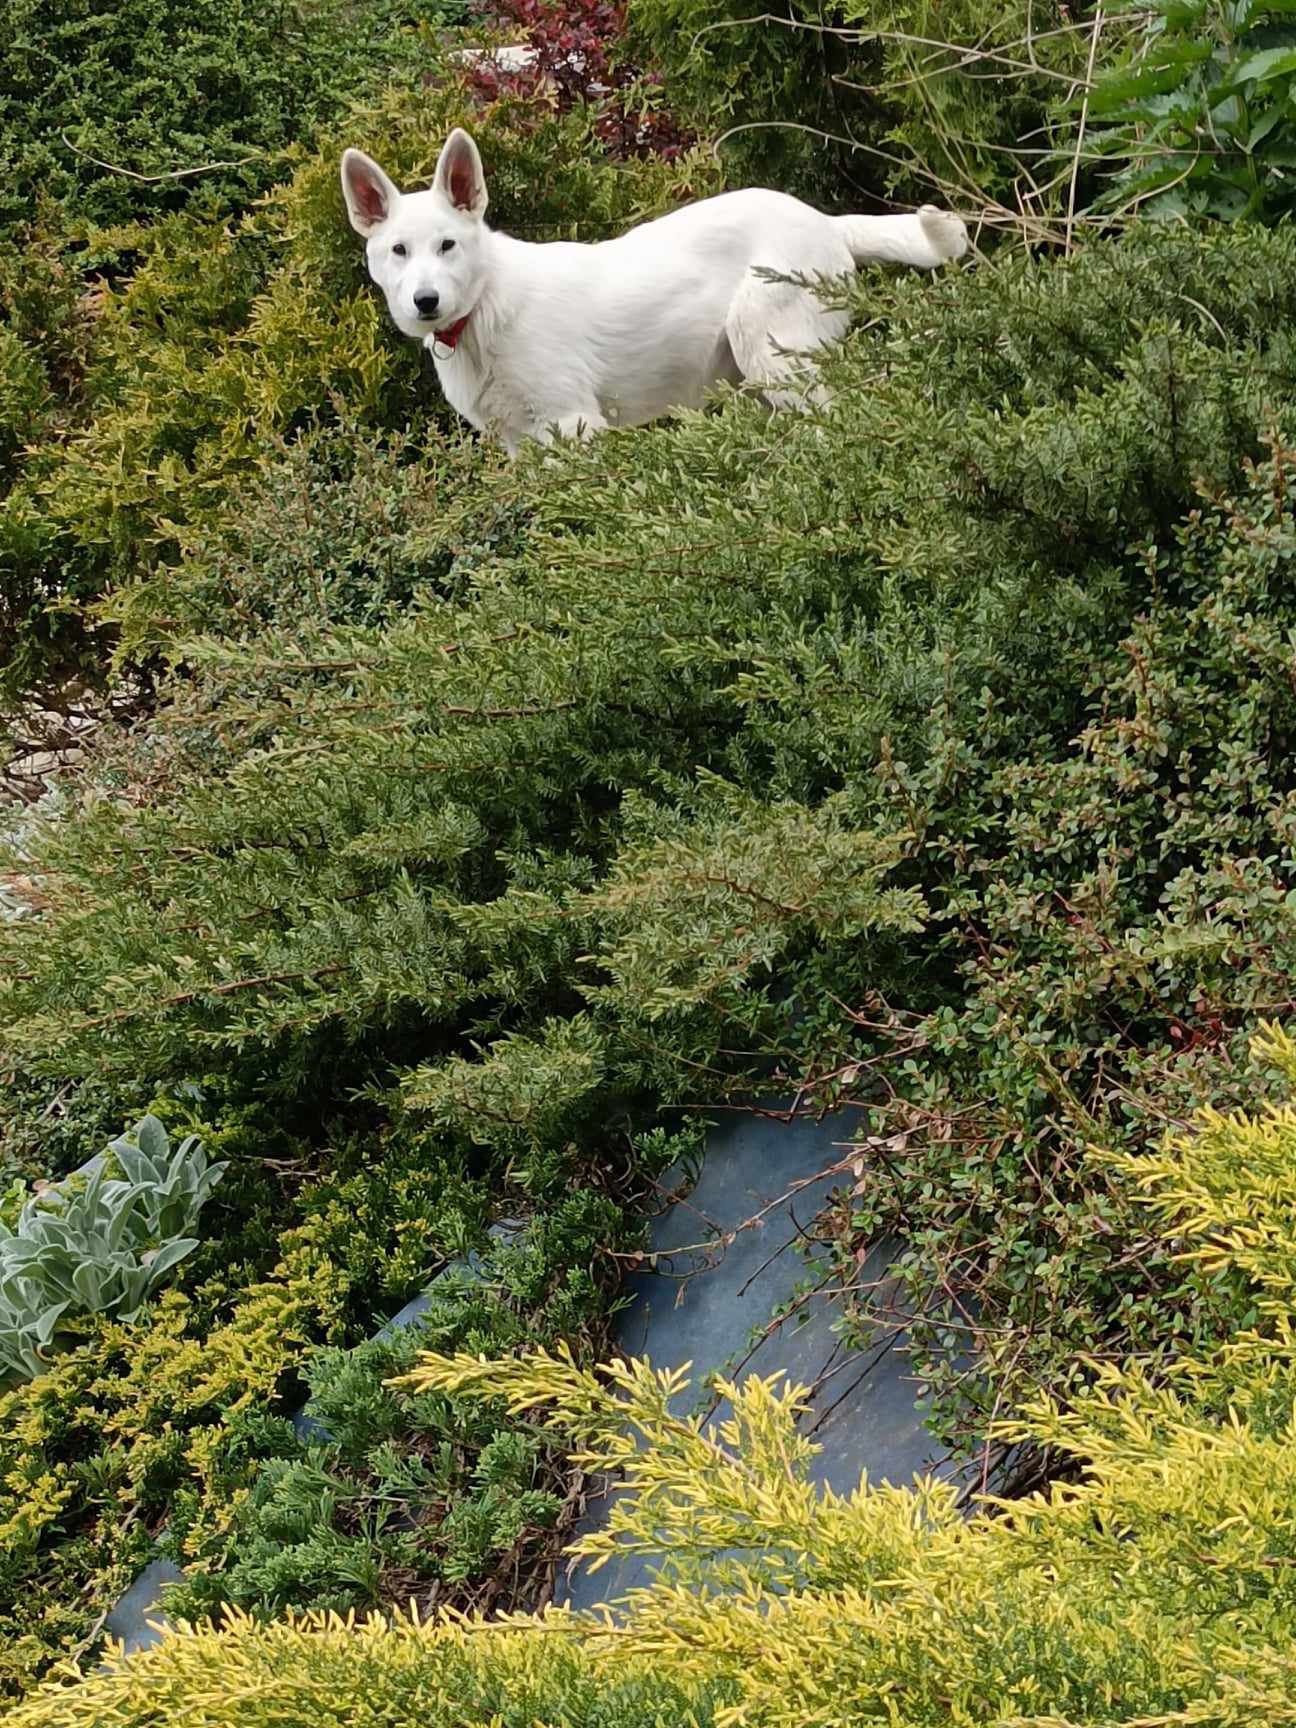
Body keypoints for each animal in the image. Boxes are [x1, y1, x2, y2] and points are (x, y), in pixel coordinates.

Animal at [340, 128, 967, 456]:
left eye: (448, 245)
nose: (425, 303)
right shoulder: (520, 443)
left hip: (771, 348)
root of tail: (828, 224)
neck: (484, 311)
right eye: (398, 251)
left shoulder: (574, 425)